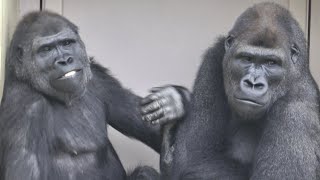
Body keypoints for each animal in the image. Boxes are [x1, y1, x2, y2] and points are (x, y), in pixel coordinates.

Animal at [0, 11, 189, 180]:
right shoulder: (25, 109)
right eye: (46, 49)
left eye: (67, 43)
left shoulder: (99, 78)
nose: (65, 60)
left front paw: (175, 109)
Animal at [162, 2, 320, 180]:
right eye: (247, 59)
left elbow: (196, 161)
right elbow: (196, 154)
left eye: (271, 63)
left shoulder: (296, 112)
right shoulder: (215, 56)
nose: (253, 83)